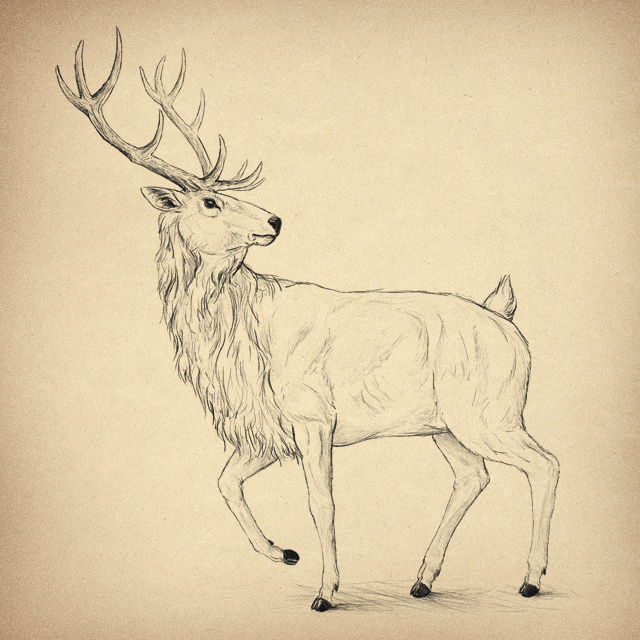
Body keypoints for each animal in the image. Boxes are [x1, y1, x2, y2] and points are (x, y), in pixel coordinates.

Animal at [56, 30, 560, 612]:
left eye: (228, 195)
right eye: (210, 201)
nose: (274, 220)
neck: (245, 340)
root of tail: (506, 319)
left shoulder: (313, 413)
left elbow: (322, 501)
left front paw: (326, 592)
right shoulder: (268, 427)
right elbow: (225, 482)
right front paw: (285, 553)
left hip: (491, 411)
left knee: (545, 463)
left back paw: (530, 578)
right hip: (446, 424)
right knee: (474, 476)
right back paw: (422, 579)